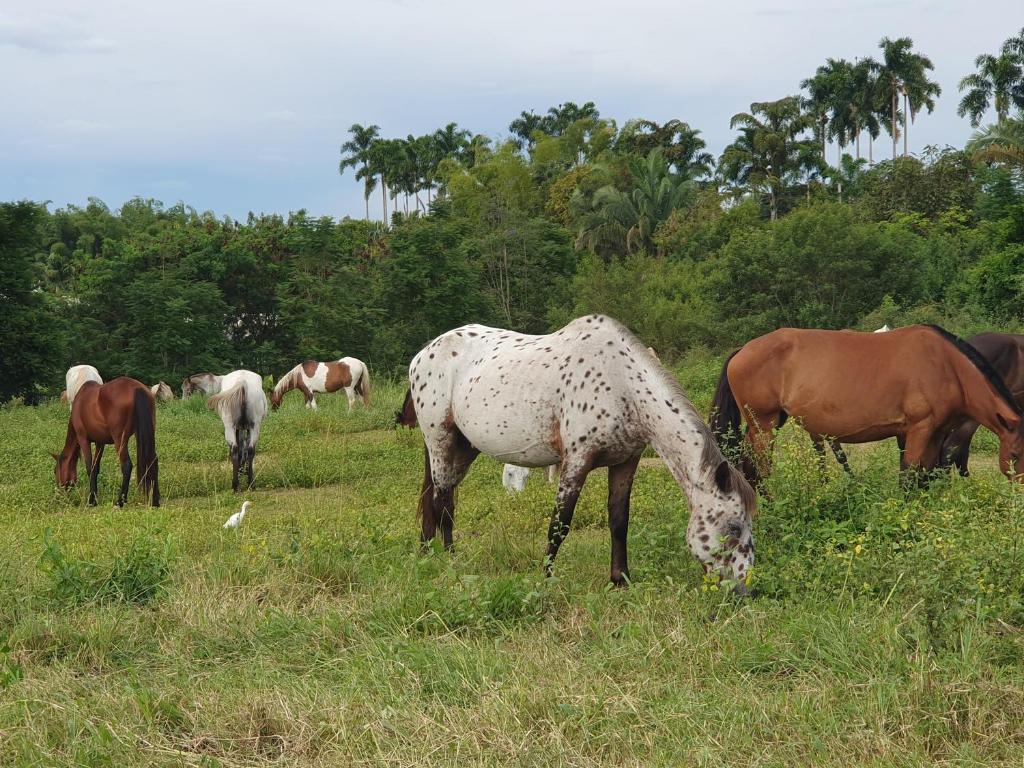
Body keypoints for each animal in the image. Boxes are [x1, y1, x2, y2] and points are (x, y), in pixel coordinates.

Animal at [52, 377, 160, 507]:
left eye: (55, 471)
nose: (60, 492)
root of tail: (137, 388)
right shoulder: (100, 442)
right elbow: (96, 467)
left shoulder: (83, 439)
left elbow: (90, 467)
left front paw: (91, 500)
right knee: (152, 460)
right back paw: (155, 500)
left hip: (120, 439)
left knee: (126, 465)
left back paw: (120, 501)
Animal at [406, 315, 756, 589]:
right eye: (733, 527)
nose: (745, 589)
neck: (620, 383)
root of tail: (421, 355)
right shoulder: (576, 461)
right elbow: (559, 525)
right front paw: (545, 579)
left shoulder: (626, 462)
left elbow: (619, 520)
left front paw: (620, 579)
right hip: (440, 441)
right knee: (439, 500)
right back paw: (443, 559)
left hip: (463, 449)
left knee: (442, 498)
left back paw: (434, 554)